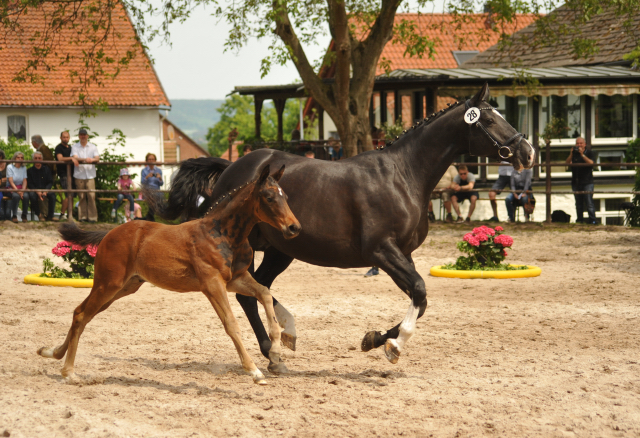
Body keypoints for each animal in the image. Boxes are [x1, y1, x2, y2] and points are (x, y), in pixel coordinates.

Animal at [38, 164, 302, 384]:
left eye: (287, 197)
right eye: (269, 197)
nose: (294, 227)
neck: (222, 234)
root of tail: (109, 234)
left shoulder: (235, 279)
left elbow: (264, 293)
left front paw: (276, 349)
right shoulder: (212, 284)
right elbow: (231, 324)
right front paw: (254, 370)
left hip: (124, 287)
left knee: (81, 313)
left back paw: (51, 352)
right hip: (108, 284)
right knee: (83, 314)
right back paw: (69, 372)